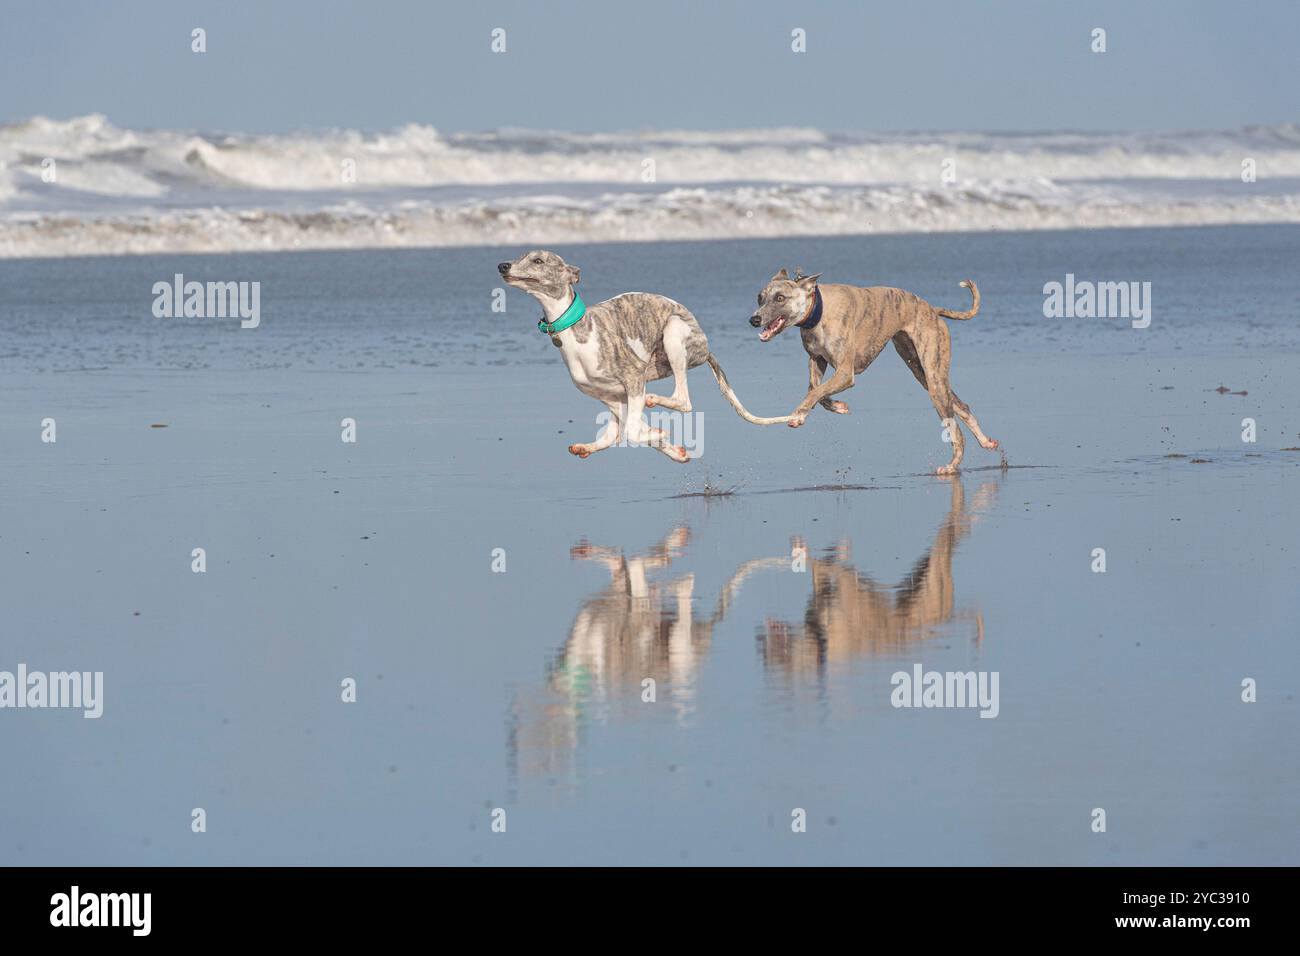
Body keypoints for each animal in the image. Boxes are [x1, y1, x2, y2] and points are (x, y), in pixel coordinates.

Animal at [748, 269, 998, 476]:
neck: (819, 309)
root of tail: (933, 310)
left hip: (934, 376)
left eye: (780, 298)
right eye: (760, 297)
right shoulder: (817, 361)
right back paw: (986, 442)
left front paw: (798, 415)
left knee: (955, 430)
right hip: (922, 371)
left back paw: (952, 465)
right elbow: (817, 392)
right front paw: (837, 406)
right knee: (962, 406)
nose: (754, 319)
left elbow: (815, 393)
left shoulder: (845, 373)